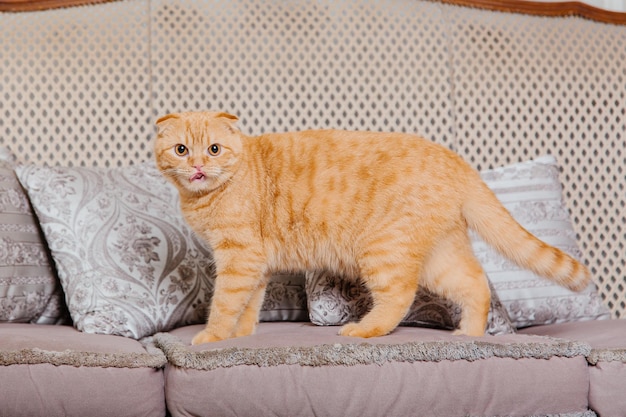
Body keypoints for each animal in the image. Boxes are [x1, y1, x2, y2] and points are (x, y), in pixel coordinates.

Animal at [154, 110, 588, 344]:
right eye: (181, 150)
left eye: (213, 149)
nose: (198, 167)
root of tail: (454, 159)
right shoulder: (253, 264)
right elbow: (247, 306)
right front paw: (240, 335)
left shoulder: (239, 257)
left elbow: (225, 303)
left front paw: (213, 336)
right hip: (441, 255)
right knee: (475, 283)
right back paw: (471, 332)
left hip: (383, 250)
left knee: (398, 297)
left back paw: (362, 330)